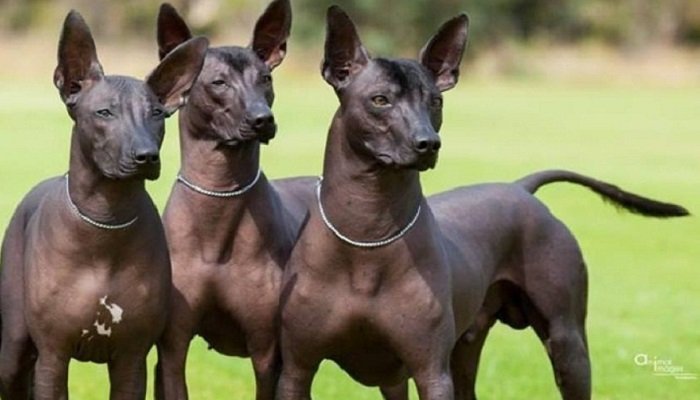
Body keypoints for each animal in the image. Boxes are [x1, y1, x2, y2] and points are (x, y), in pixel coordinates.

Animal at [154, 1, 316, 398]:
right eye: (218, 83)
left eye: (266, 80)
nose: (263, 119)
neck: (219, 198)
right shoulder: (172, 348)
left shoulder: (266, 354)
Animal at [274, 6, 688, 400]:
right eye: (380, 100)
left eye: (436, 101)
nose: (428, 143)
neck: (367, 231)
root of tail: (520, 189)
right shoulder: (297, 371)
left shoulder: (430, 372)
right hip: (467, 347)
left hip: (567, 344)